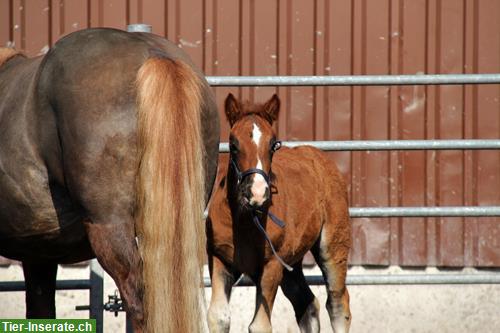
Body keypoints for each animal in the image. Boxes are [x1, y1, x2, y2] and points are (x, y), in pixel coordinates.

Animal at [205, 94, 350, 332]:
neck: (246, 220)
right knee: (307, 303)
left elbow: (260, 325)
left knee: (338, 304)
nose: (257, 192)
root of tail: (319, 157)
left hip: (333, 246)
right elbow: (219, 317)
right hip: (291, 263)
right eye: (233, 145)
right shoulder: (219, 258)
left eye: (273, 146)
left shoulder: (271, 265)